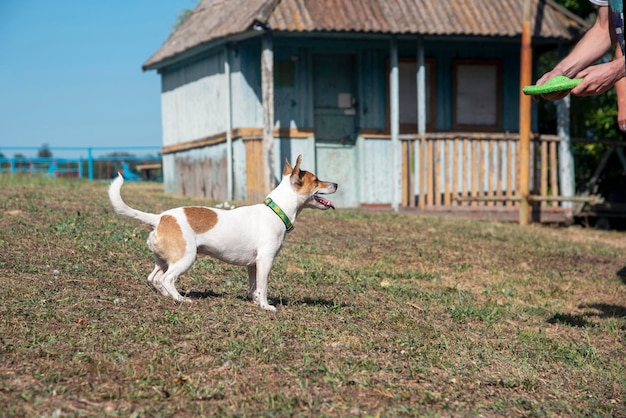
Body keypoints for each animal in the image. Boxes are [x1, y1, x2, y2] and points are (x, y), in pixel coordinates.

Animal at [109, 154, 338, 310]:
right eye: (316, 180)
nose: (336, 184)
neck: (276, 211)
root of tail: (159, 217)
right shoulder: (265, 260)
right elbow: (263, 286)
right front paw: (265, 306)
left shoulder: (252, 265)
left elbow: (254, 286)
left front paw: (255, 301)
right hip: (186, 257)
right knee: (167, 279)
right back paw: (181, 299)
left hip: (165, 259)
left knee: (154, 278)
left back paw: (166, 296)